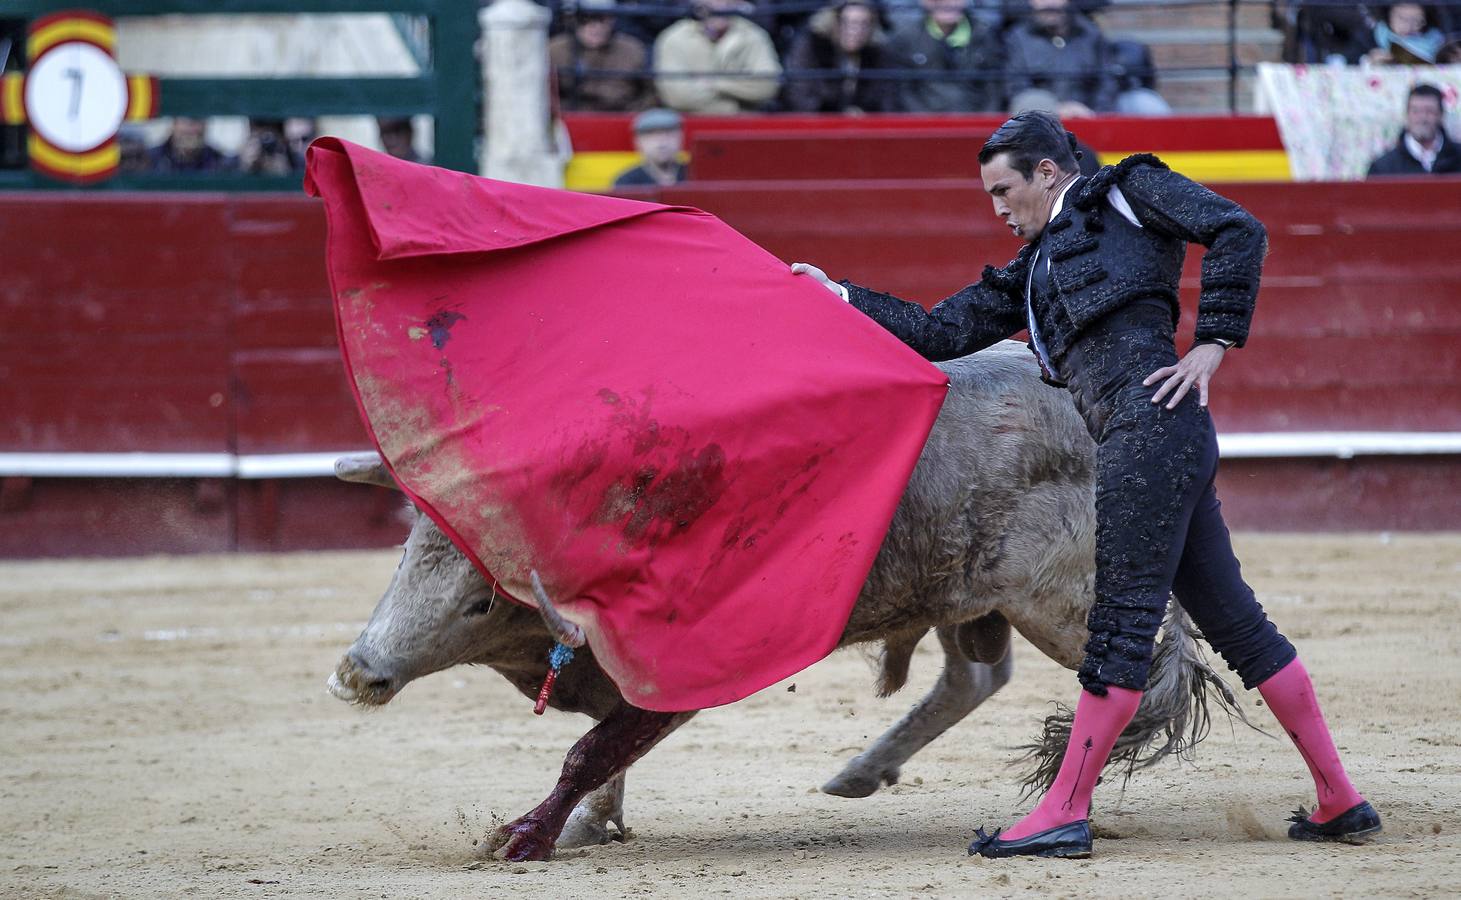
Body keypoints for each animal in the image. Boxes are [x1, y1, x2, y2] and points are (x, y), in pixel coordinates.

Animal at [319, 340, 1233, 859]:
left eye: (479, 604)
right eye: (407, 550)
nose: (357, 671)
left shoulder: (676, 679)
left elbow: (591, 749)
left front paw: (525, 836)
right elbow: (603, 751)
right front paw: (587, 825)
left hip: (1061, 596)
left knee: (1146, 670)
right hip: (964, 591)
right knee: (977, 676)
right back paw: (863, 772)